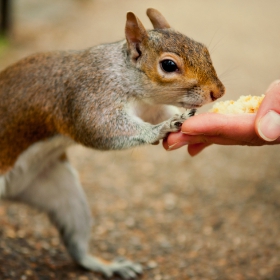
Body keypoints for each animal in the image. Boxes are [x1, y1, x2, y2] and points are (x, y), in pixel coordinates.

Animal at [0, 7, 224, 278]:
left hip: (59, 190)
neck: (125, 77)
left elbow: (161, 112)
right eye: (169, 65)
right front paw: (161, 129)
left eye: (203, 48)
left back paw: (107, 265)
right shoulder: (91, 97)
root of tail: (12, 189)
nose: (219, 92)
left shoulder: (149, 108)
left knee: (77, 245)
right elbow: (99, 128)